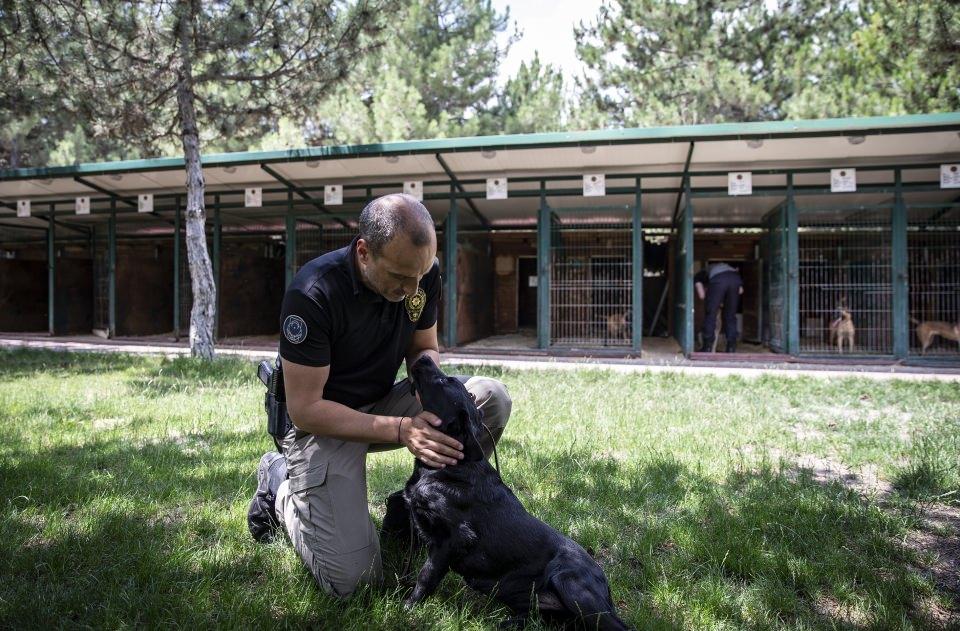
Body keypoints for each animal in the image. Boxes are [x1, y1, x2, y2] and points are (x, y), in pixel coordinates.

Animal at [399, 356, 630, 630]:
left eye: (445, 381)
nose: (424, 357)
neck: (450, 466)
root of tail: (606, 587)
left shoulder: (451, 538)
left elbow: (426, 576)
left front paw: (408, 608)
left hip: (570, 584)